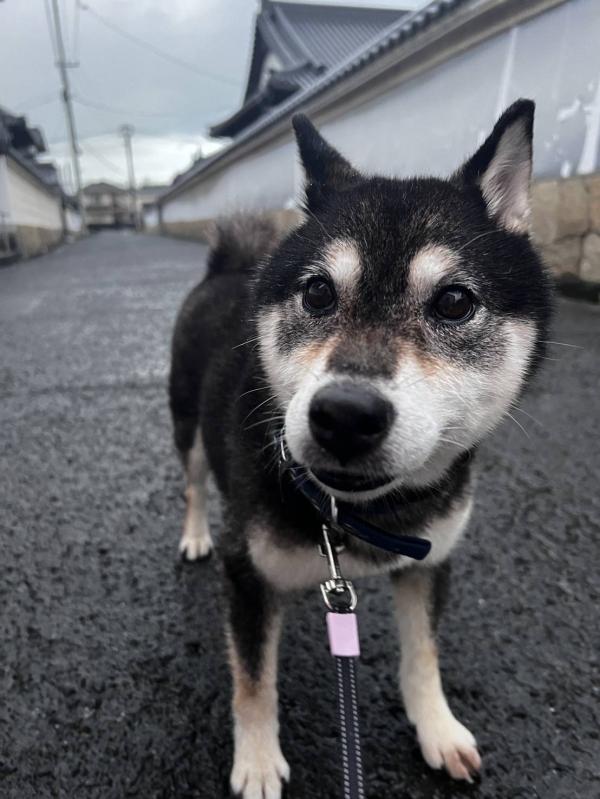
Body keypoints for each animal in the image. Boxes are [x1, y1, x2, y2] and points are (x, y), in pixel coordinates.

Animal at [169, 99, 553, 798]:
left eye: (455, 301)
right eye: (318, 292)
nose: (345, 416)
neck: (362, 517)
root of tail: (226, 269)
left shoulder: (431, 558)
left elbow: (423, 654)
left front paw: (437, 728)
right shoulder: (246, 575)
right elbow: (253, 682)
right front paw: (258, 761)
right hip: (188, 429)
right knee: (191, 482)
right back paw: (193, 534)